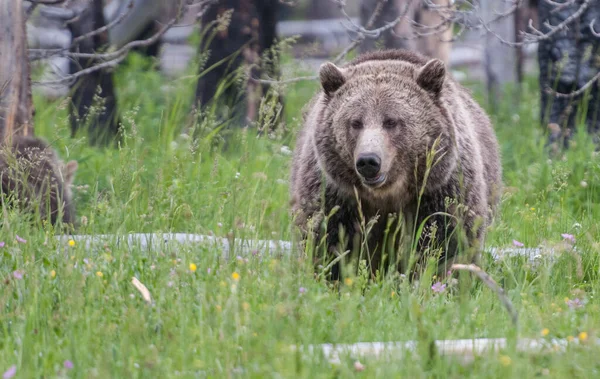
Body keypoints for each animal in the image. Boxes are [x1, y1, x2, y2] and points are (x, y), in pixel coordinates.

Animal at [290, 49, 502, 282]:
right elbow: (328, 238)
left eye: (391, 121)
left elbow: (446, 239)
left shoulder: (439, 189)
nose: (368, 161)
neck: (387, 194)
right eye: (355, 122)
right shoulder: (336, 193)